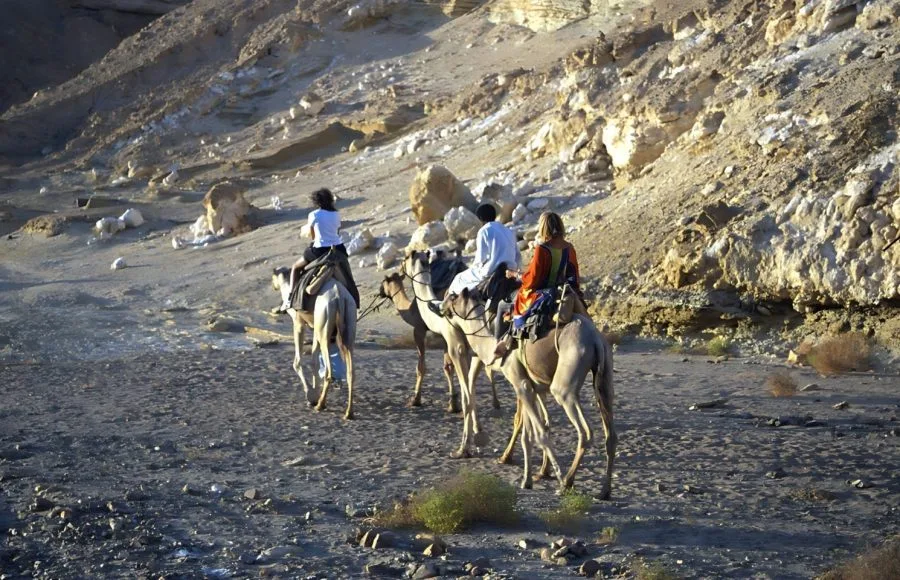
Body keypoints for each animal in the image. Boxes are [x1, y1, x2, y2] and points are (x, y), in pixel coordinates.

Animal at [272, 267, 357, 420]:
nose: (273, 285)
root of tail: (339, 296)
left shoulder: (299, 322)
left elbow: (298, 361)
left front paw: (311, 396)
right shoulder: (315, 327)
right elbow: (314, 361)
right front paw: (314, 393)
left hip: (324, 323)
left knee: (329, 370)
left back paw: (321, 405)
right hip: (348, 322)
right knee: (350, 372)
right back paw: (348, 412)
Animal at [379, 272, 501, 412]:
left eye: (383, 281)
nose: (379, 292)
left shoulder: (419, 329)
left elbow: (422, 367)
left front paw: (416, 399)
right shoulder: (445, 337)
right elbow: (448, 367)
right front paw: (453, 403)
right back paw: (495, 402)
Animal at [442, 287, 617, 498]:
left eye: (453, 297)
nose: (440, 307)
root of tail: (595, 339)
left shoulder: (520, 382)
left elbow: (540, 434)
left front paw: (557, 477)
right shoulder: (529, 388)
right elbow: (528, 436)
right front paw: (527, 480)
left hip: (566, 383)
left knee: (585, 431)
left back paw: (567, 482)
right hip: (604, 378)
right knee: (610, 435)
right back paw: (604, 491)